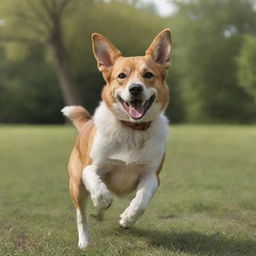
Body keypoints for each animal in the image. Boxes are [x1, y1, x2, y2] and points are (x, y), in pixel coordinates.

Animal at [61, 28, 171, 248]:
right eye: (122, 75)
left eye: (148, 74)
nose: (135, 88)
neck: (132, 130)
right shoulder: (91, 168)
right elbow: (98, 189)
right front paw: (104, 200)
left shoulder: (152, 175)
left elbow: (141, 200)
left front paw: (127, 219)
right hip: (76, 185)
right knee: (81, 215)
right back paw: (84, 240)